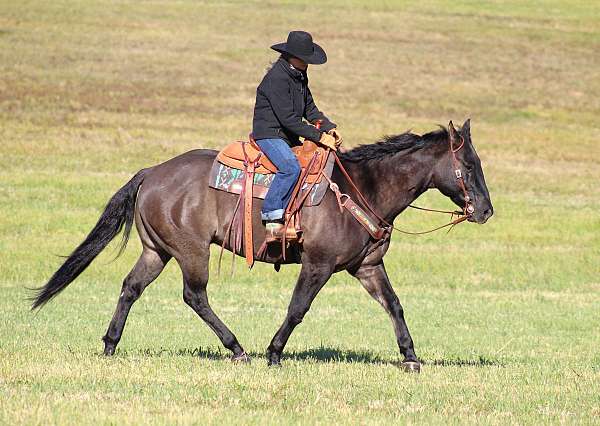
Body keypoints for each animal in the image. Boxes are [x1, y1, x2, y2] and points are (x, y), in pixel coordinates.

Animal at [31, 119, 492, 370]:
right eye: (469, 165)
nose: (486, 211)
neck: (364, 188)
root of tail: (152, 172)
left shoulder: (367, 267)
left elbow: (394, 305)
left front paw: (411, 356)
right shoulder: (318, 265)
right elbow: (298, 308)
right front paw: (274, 351)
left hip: (156, 251)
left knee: (131, 288)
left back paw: (110, 345)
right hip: (191, 252)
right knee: (194, 296)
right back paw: (238, 349)